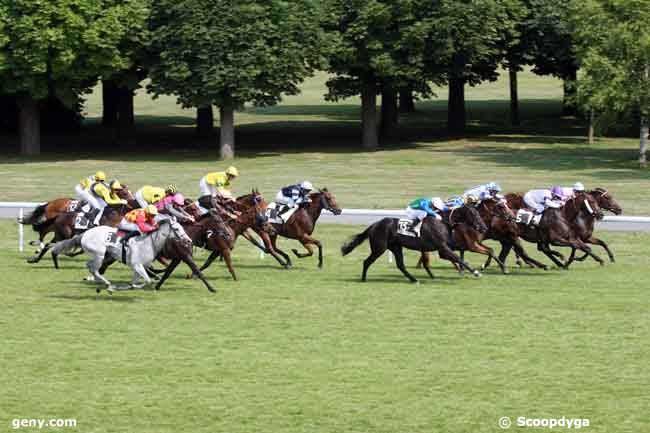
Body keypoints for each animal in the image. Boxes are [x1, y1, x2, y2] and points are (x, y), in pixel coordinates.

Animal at [51, 218, 189, 292]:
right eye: (177, 229)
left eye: (183, 227)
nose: (188, 240)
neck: (148, 242)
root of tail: (85, 233)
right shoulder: (137, 265)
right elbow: (147, 280)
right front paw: (116, 288)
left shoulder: (139, 267)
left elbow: (135, 283)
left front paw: (128, 286)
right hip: (99, 255)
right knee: (93, 268)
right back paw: (107, 284)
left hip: (99, 255)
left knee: (90, 267)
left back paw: (102, 282)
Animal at [342, 203, 484, 282]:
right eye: (473, 214)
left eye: (479, 213)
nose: (483, 227)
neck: (442, 222)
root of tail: (374, 225)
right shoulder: (442, 247)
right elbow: (459, 259)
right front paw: (476, 272)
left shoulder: (443, 247)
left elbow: (458, 256)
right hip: (379, 248)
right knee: (367, 262)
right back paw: (363, 279)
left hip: (396, 247)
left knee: (400, 265)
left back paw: (414, 279)